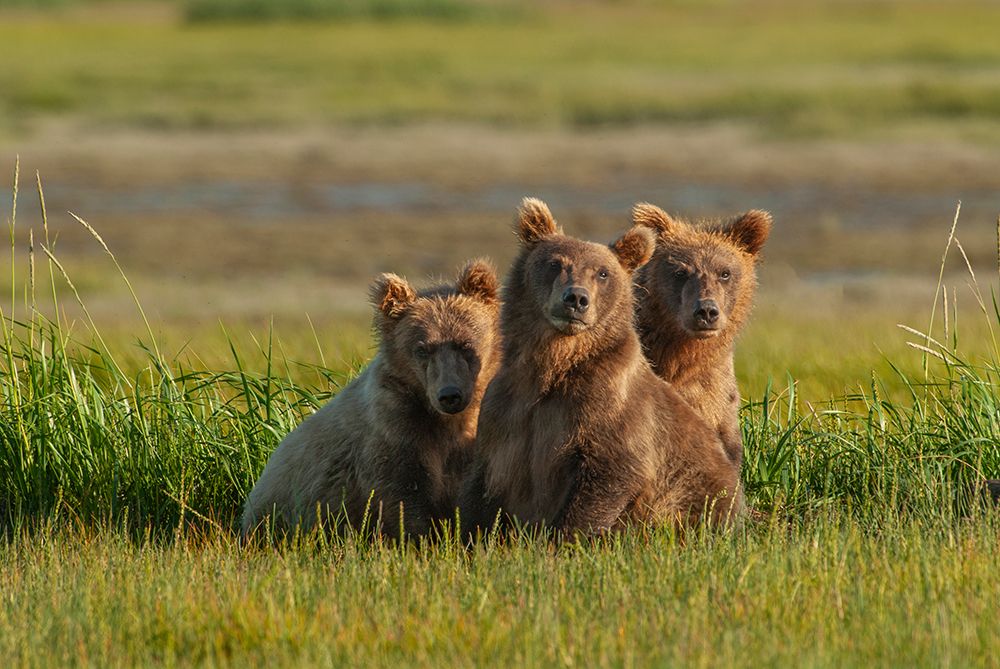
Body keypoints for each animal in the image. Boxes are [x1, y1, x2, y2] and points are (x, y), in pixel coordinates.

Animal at [242, 259, 502, 540]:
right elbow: (404, 500)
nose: (450, 395)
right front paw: (420, 538)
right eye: (422, 349)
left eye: (465, 344)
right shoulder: (394, 432)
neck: (445, 422)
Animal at [458, 198, 743, 538]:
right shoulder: (506, 410)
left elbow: (611, 472)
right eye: (555, 263)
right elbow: (482, 484)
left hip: (701, 492)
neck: (554, 363)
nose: (576, 298)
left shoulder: (606, 406)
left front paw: (563, 538)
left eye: (603, 273)